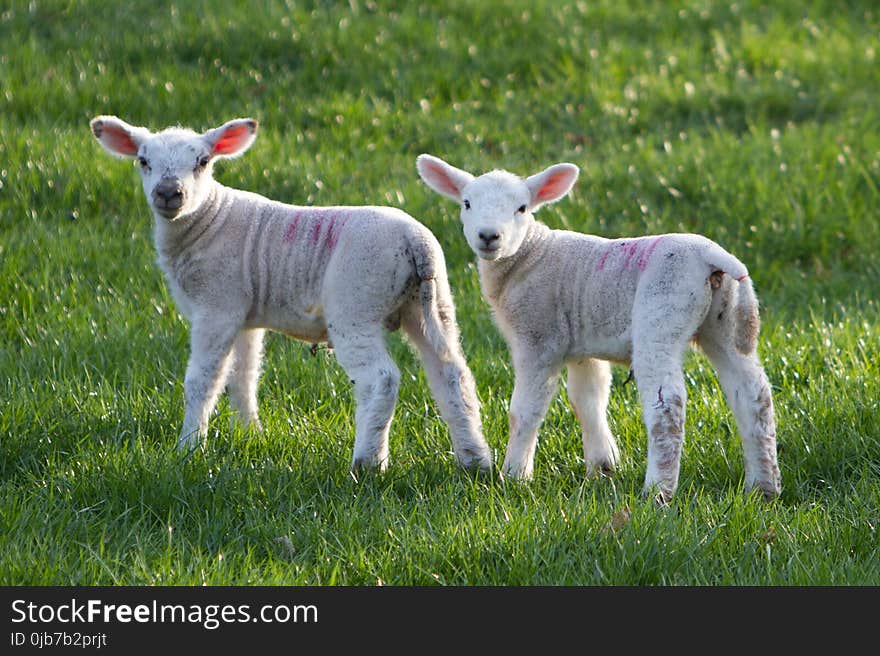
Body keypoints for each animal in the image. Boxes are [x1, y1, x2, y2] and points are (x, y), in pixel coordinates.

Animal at [87, 113, 496, 472]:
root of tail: (416, 243)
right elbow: (244, 377)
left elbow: (203, 380)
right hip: (431, 303)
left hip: (356, 303)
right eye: (143, 161)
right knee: (452, 375)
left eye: (202, 162)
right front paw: (250, 433)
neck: (207, 220)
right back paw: (474, 461)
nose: (169, 193)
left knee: (380, 380)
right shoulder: (246, 316)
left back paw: (368, 464)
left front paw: (188, 448)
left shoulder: (216, 306)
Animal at [416, 155, 780, 502]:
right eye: (467, 203)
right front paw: (602, 468)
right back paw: (763, 487)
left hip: (662, 312)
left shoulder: (539, 337)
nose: (489, 236)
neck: (530, 255)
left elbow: (524, 411)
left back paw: (657, 491)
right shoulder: (581, 344)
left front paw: (515, 475)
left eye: (521, 208)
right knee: (753, 394)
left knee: (668, 403)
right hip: (725, 320)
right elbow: (587, 399)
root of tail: (712, 257)